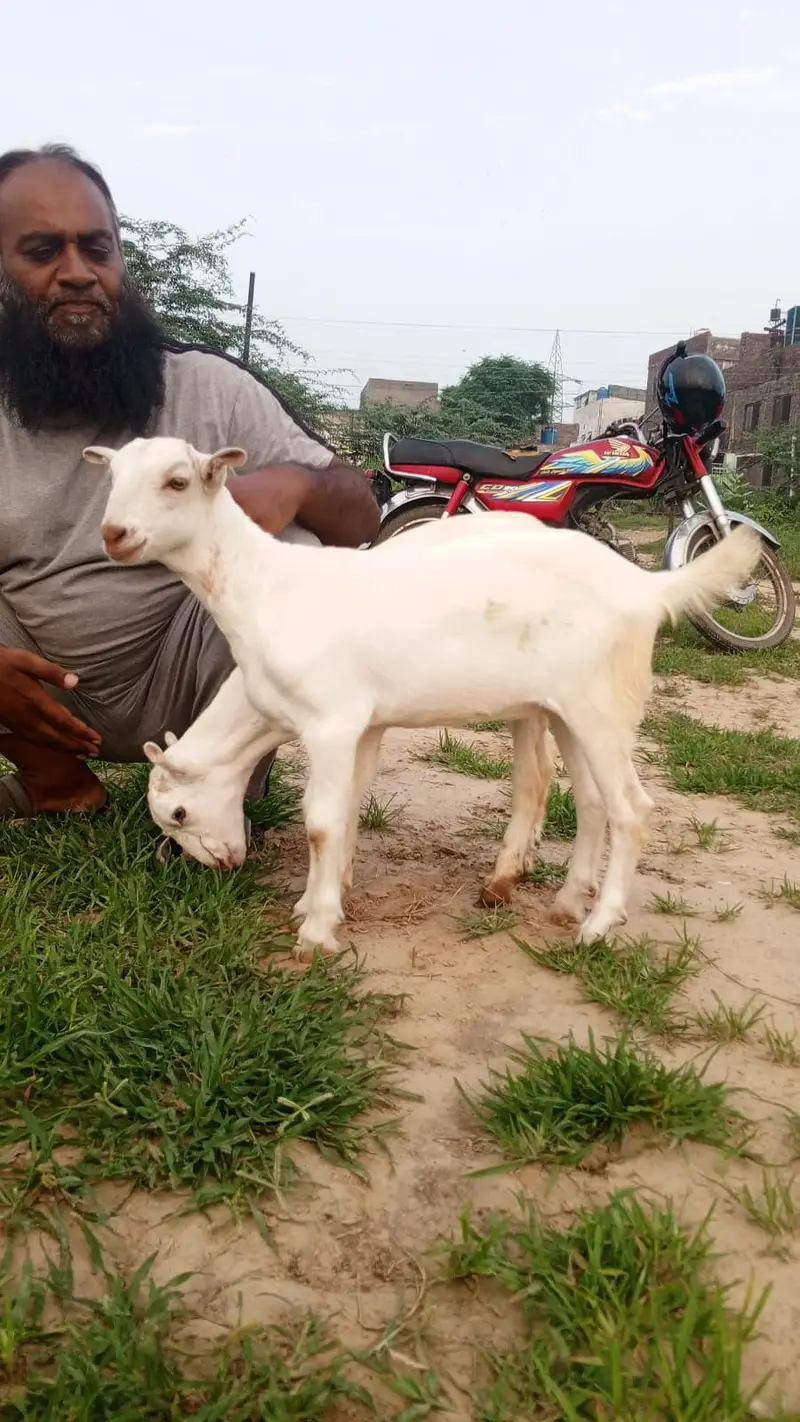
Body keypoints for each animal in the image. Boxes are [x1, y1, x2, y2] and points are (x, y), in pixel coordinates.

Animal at [89, 436, 760, 954]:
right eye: (113, 479)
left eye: (177, 481)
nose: (114, 534)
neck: (268, 588)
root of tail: (647, 589)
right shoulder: (363, 724)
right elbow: (349, 809)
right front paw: (318, 902)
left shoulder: (331, 721)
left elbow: (322, 823)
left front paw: (316, 932)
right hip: (565, 709)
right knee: (592, 800)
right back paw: (566, 902)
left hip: (603, 705)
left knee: (630, 807)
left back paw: (596, 928)